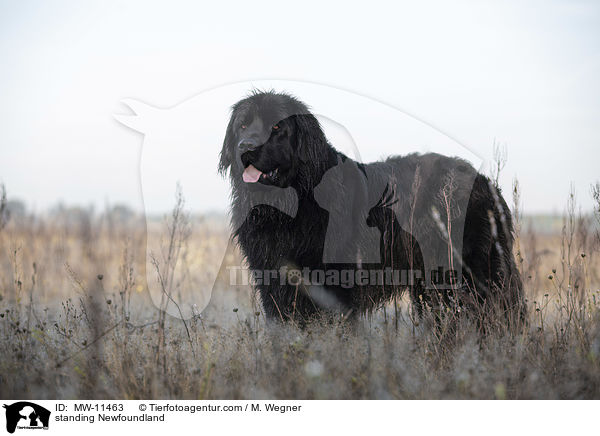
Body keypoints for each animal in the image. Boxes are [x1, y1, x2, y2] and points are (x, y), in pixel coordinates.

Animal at [220, 90, 524, 326]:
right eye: (243, 126)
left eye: (276, 128)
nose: (245, 146)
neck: (292, 203)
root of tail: (485, 181)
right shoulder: (272, 278)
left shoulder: (333, 280)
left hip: (471, 273)